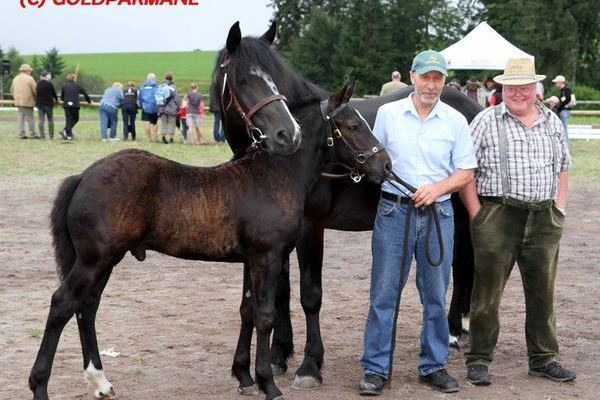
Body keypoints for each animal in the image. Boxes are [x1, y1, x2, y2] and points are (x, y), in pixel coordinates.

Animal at [28, 76, 392, 398]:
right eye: (353, 126)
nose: (385, 165)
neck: (275, 176)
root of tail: (84, 175)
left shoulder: (253, 260)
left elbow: (249, 310)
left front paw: (246, 378)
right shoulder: (267, 256)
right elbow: (264, 316)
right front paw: (269, 384)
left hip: (103, 261)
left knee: (87, 307)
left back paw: (101, 382)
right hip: (95, 259)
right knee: (62, 304)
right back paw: (40, 386)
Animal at [216, 21, 482, 390]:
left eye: (274, 80)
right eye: (242, 80)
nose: (287, 135)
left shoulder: (310, 228)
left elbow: (309, 294)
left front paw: (310, 365)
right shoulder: (272, 236)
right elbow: (276, 292)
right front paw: (279, 354)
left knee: (465, 263)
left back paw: (456, 330)